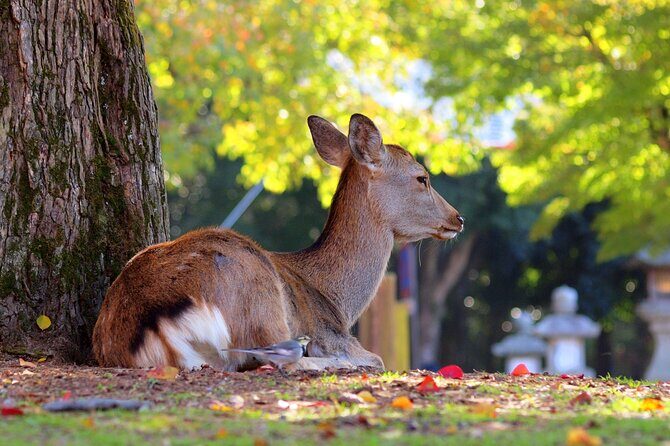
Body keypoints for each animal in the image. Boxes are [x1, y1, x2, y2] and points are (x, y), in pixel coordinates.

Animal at [92, 113, 464, 372]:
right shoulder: (331, 333)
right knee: (280, 359)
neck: (336, 301)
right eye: (422, 178)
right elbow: (377, 357)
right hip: (260, 299)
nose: (458, 218)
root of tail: (151, 323)